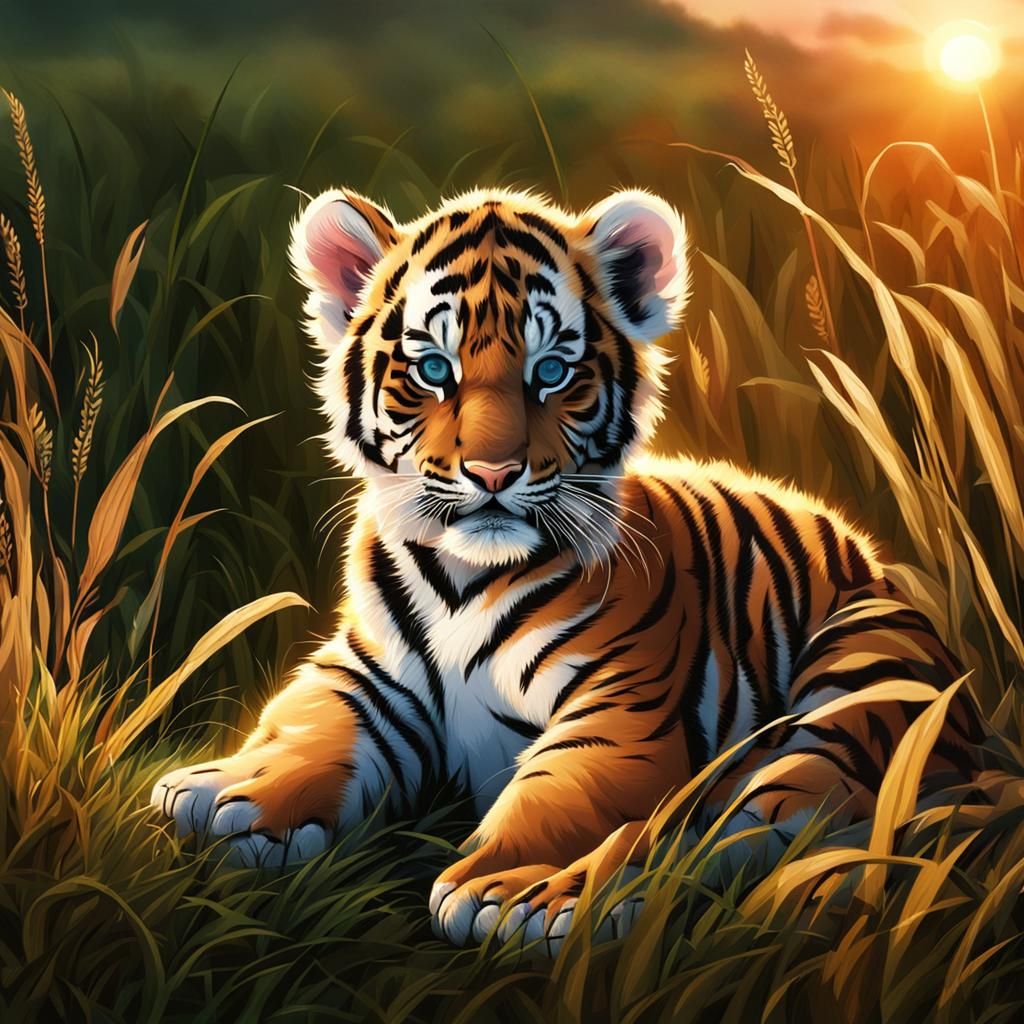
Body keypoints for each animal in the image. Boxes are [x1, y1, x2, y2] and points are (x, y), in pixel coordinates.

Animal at [151, 184, 983, 952]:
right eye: (432, 369)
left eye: (551, 371)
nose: (493, 472)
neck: (463, 581)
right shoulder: (368, 676)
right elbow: (309, 725)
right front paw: (234, 792)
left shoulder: (621, 707)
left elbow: (563, 793)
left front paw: (515, 889)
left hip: (859, 676)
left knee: (784, 819)